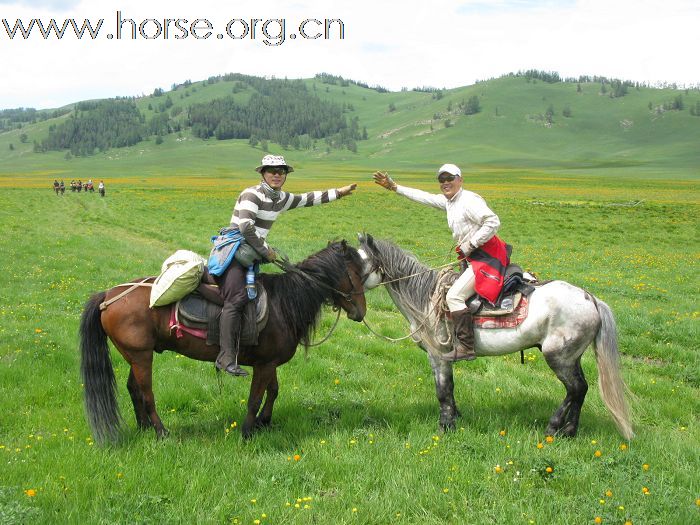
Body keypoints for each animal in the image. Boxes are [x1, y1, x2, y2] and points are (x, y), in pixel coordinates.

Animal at [79, 242, 366, 442]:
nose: (361, 312)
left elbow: (273, 391)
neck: (284, 303)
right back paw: (161, 432)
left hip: (137, 354)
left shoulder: (268, 362)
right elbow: (255, 398)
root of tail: (108, 295)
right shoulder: (264, 365)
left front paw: (264, 422)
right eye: (356, 273)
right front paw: (247, 433)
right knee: (146, 392)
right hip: (141, 355)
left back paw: (144, 428)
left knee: (134, 388)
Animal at [358, 233, 632, 438]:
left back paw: (555, 427)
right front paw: (455, 418)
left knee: (575, 389)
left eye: (358, 264)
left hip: (559, 357)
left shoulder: (440, 355)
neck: (425, 298)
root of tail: (590, 298)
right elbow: (449, 389)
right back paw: (569, 431)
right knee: (581, 389)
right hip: (571, 357)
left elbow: (443, 390)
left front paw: (445, 427)